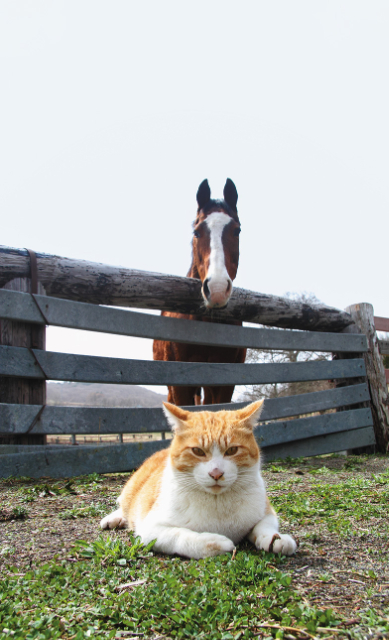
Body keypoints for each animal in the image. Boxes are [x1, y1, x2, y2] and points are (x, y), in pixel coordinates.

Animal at [99, 400, 294, 560]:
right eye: (198, 451)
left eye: (232, 450)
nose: (216, 473)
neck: (217, 503)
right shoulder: (150, 530)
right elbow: (182, 536)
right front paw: (215, 543)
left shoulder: (267, 511)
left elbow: (265, 526)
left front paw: (276, 539)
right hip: (131, 492)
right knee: (125, 506)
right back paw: (114, 518)